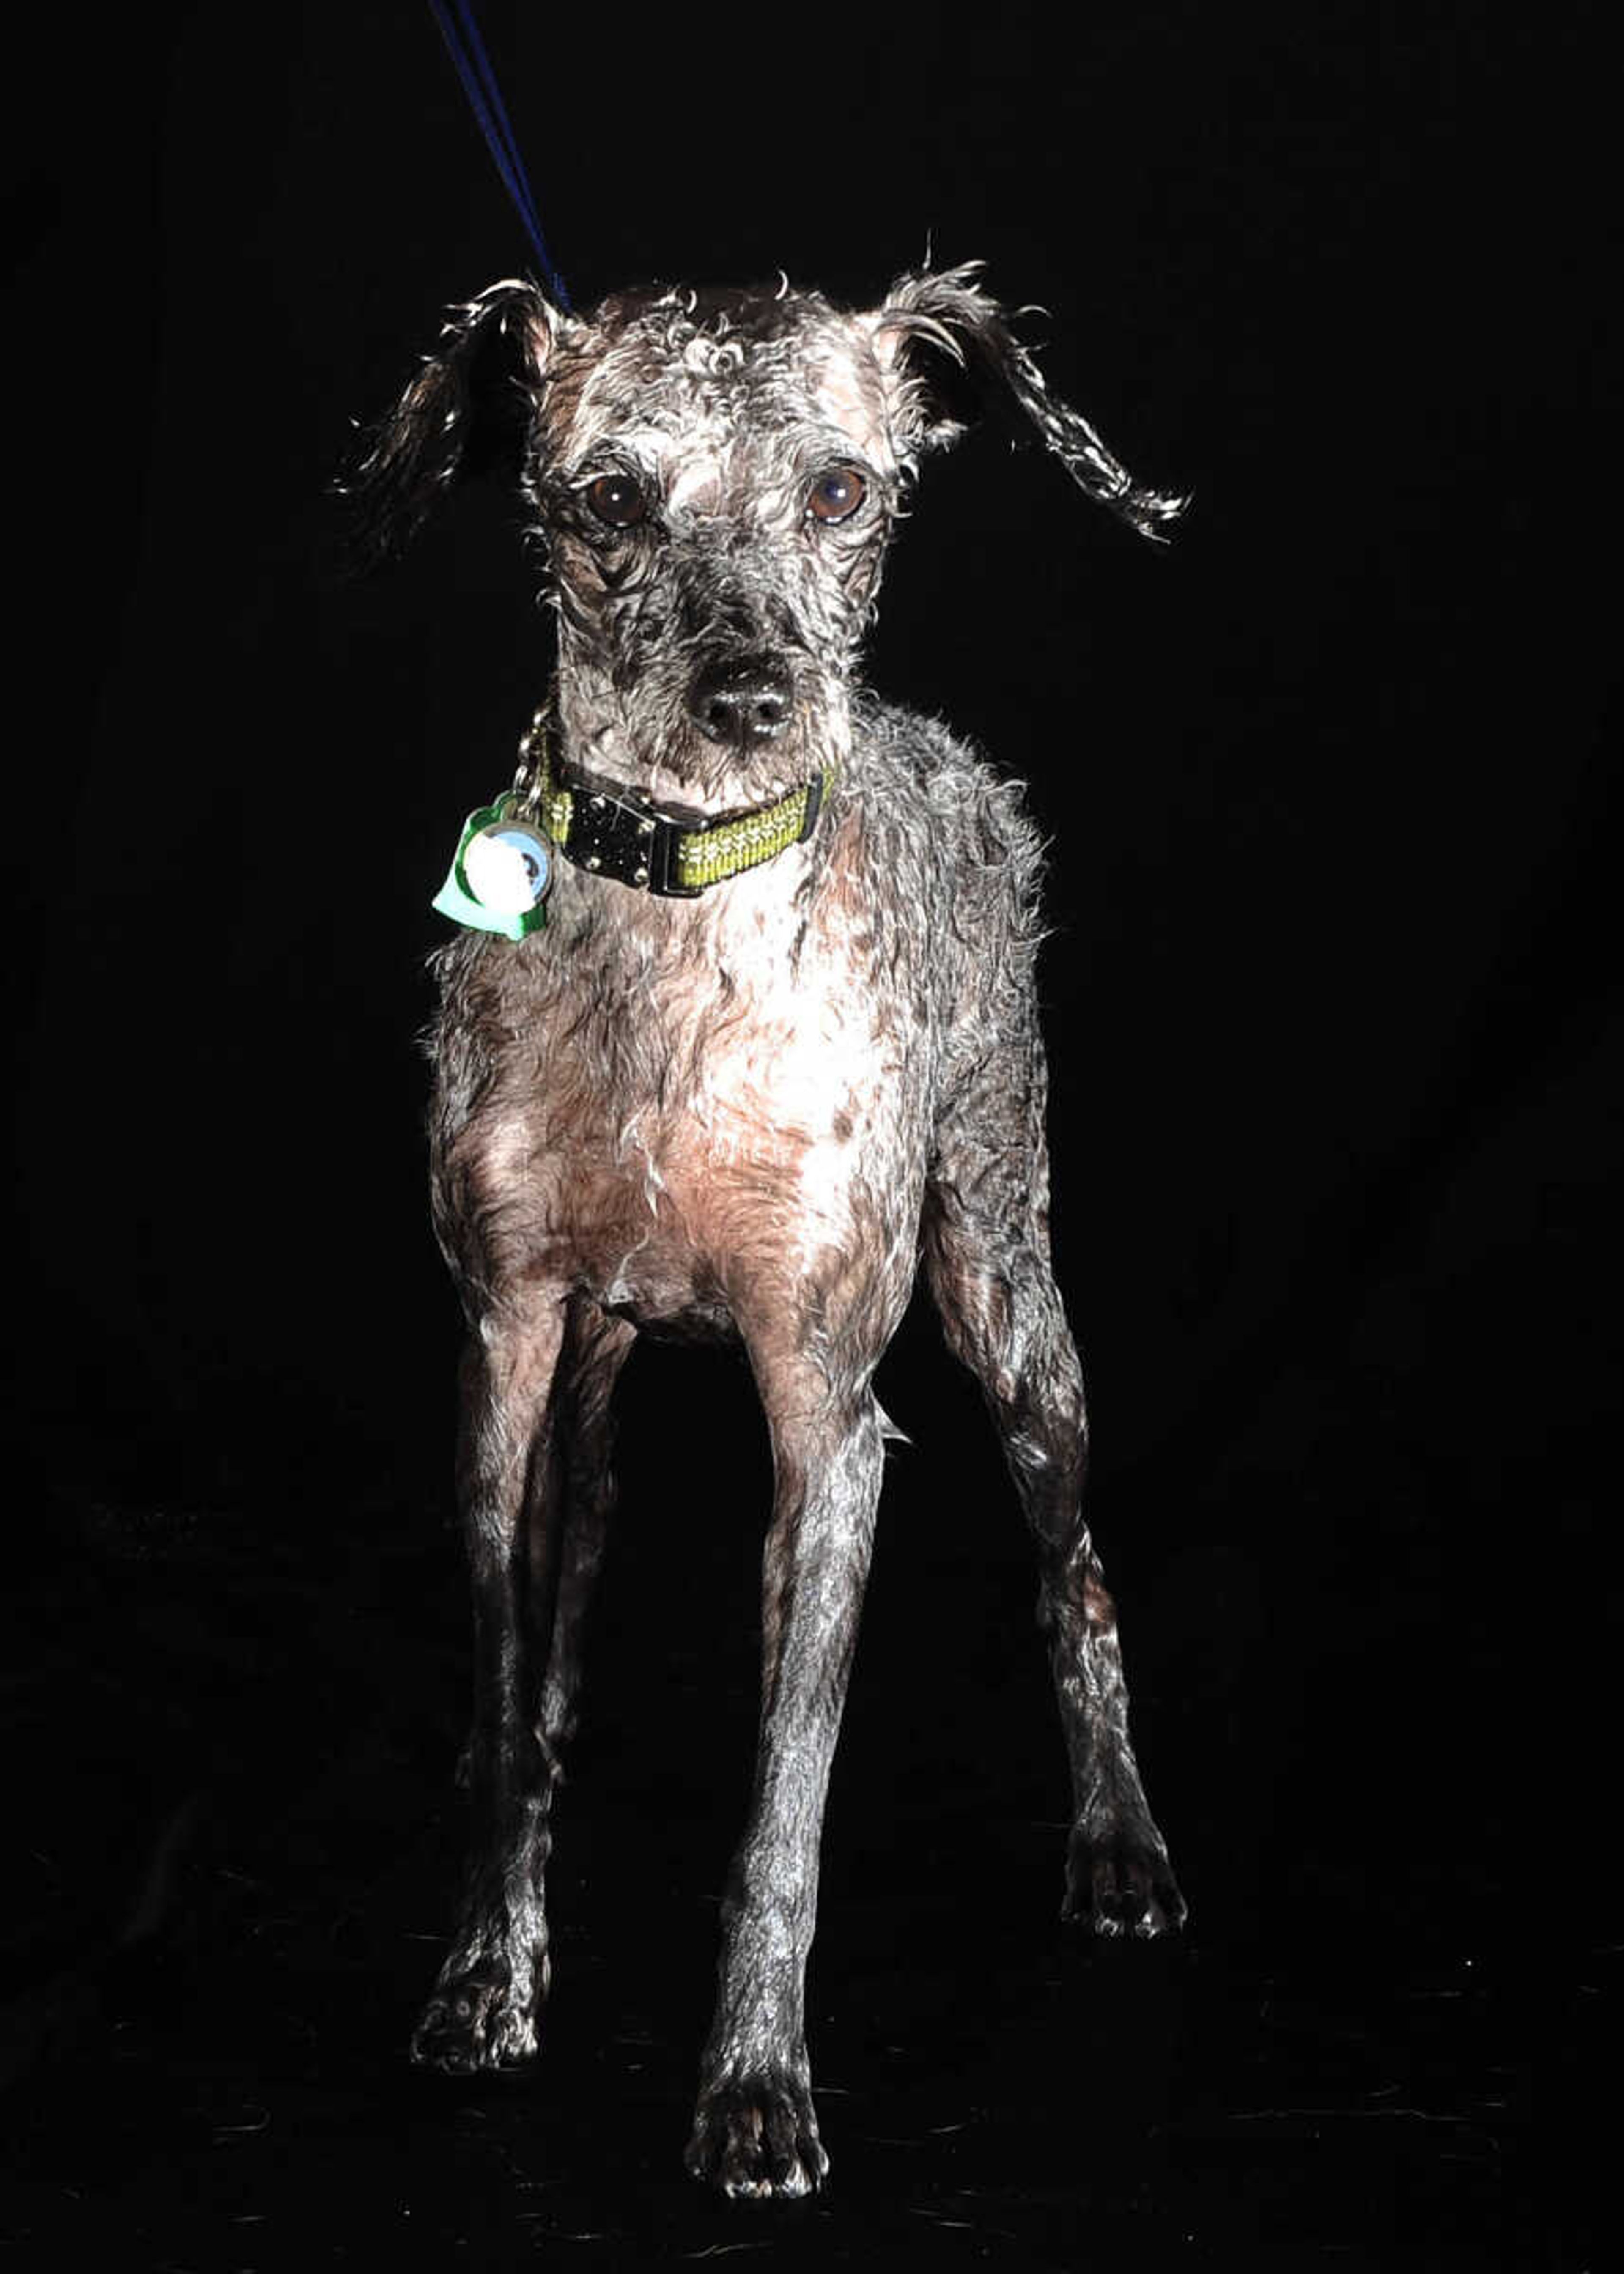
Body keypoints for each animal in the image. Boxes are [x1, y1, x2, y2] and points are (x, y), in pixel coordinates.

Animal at [348, 266, 1182, 2201]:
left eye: (841, 490)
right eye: (608, 498)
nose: (750, 696)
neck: (680, 936)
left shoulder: (830, 1417)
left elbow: (783, 1799)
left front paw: (751, 2083)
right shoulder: (502, 1358)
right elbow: (503, 1695)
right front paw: (485, 1971)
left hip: (1009, 1300)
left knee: (1079, 1569)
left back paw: (1118, 1840)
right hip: (590, 1412)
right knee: (555, 1648)